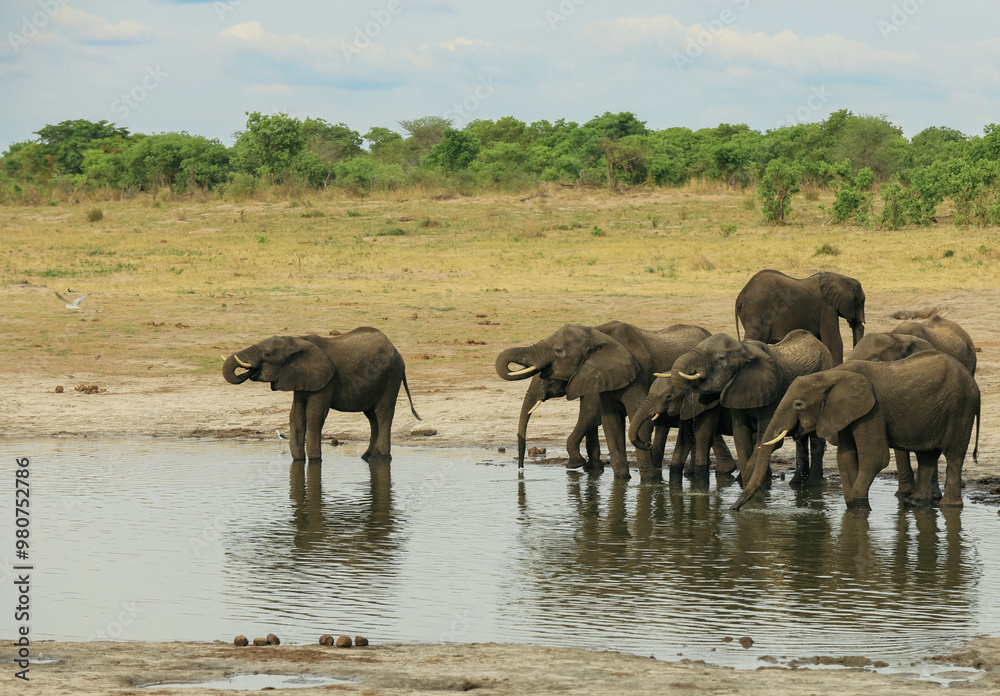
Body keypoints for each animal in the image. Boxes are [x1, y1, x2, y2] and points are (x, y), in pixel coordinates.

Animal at [222, 327, 419, 464]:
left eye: (267, 354)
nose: (250, 371)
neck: (297, 341)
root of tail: (396, 351)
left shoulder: (327, 380)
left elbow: (314, 414)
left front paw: (315, 461)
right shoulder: (300, 377)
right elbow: (296, 415)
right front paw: (299, 461)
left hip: (391, 376)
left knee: (382, 413)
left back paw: (380, 458)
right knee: (372, 417)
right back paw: (367, 457)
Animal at [495, 321, 718, 481]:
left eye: (558, 351)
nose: (521, 470)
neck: (597, 333)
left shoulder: (636, 374)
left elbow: (604, 416)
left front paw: (648, 481)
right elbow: (609, 422)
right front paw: (617, 478)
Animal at [668, 330, 833, 486]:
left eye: (720, 358)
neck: (744, 348)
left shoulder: (773, 392)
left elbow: (766, 439)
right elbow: (741, 437)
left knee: (815, 438)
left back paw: (814, 484)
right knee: (801, 438)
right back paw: (797, 483)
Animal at [733, 352, 980, 511]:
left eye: (798, 404)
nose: (733, 509)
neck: (830, 375)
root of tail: (974, 383)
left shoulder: (872, 410)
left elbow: (875, 457)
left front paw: (859, 506)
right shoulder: (842, 412)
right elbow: (845, 456)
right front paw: (852, 506)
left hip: (961, 408)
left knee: (954, 455)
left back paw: (948, 506)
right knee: (927, 455)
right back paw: (915, 503)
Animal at [735, 269, 866, 365]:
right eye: (862, 301)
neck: (840, 278)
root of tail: (740, 296)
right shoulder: (826, 308)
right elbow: (833, 341)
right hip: (757, 311)